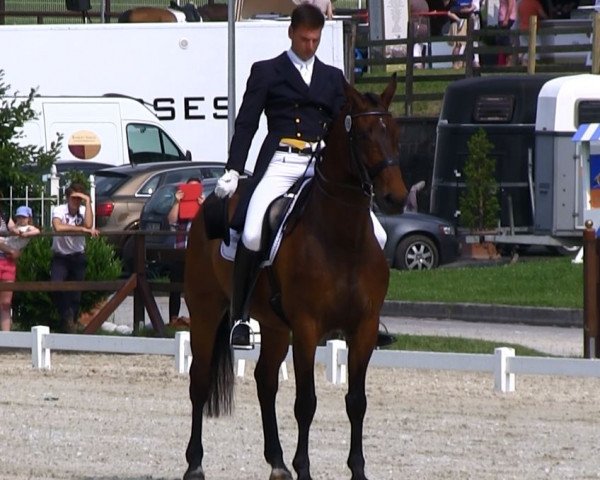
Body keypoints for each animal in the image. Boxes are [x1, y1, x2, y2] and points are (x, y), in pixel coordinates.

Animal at [183, 75, 408, 480]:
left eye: (396, 132)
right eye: (364, 134)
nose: (395, 197)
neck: (343, 238)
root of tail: (208, 204)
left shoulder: (364, 328)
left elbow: (356, 401)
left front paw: (358, 469)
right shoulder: (306, 327)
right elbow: (306, 402)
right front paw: (304, 468)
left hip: (274, 327)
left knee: (265, 381)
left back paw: (277, 462)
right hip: (206, 312)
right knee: (200, 381)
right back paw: (195, 463)